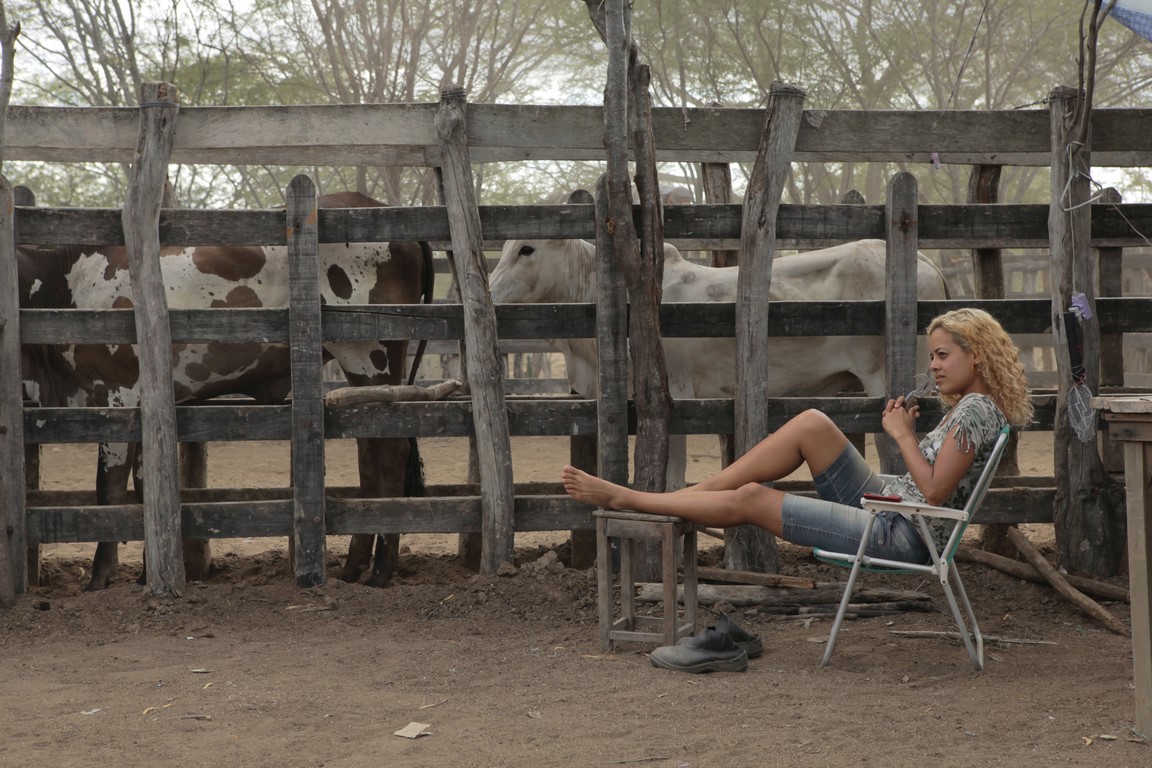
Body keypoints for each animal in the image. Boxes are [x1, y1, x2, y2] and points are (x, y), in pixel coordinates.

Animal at [20, 191, 433, 589]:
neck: (64, 283)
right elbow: (145, 484)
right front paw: (148, 572)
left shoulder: (115, 395)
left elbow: (109, 490)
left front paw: (100, 576)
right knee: (370, 451)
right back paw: (354, 566)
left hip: (371, 354)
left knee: (391, 451)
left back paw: (381, 570)